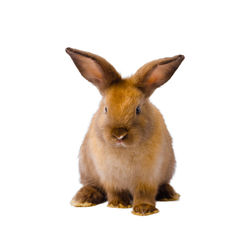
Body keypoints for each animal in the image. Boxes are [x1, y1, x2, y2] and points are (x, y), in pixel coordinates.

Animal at [66, 47, 184, 216]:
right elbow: (115, 191)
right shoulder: (110, 178)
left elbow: (144, 193)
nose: (119, 134)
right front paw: (119, 204)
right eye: (106, 109)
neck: (123, 150)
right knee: (92, 185)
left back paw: (168, 194)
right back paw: (83, 199)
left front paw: (144, 209)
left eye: (138, 109)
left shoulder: (148, 177)